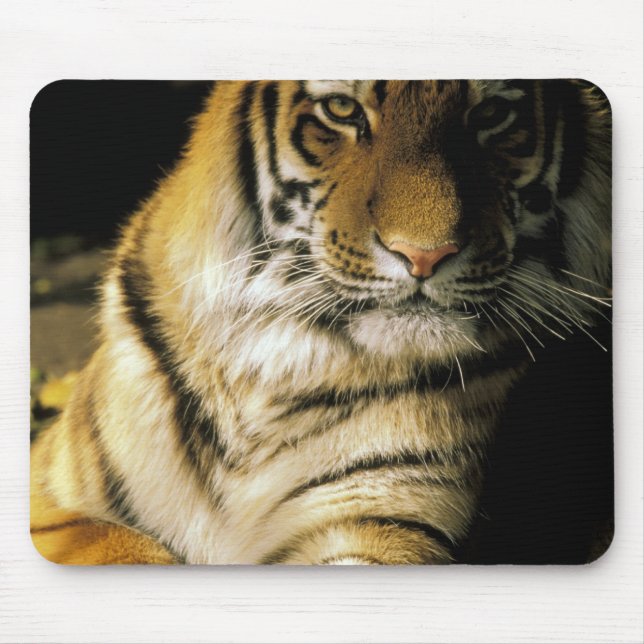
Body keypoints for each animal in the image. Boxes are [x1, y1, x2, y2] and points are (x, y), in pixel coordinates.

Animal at [30, 80, 611, 565]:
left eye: (491, 114)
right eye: (341, 109)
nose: (424, 256)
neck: (269, 365)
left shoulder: (380, 521)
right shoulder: (51, 499)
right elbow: (122, 545)